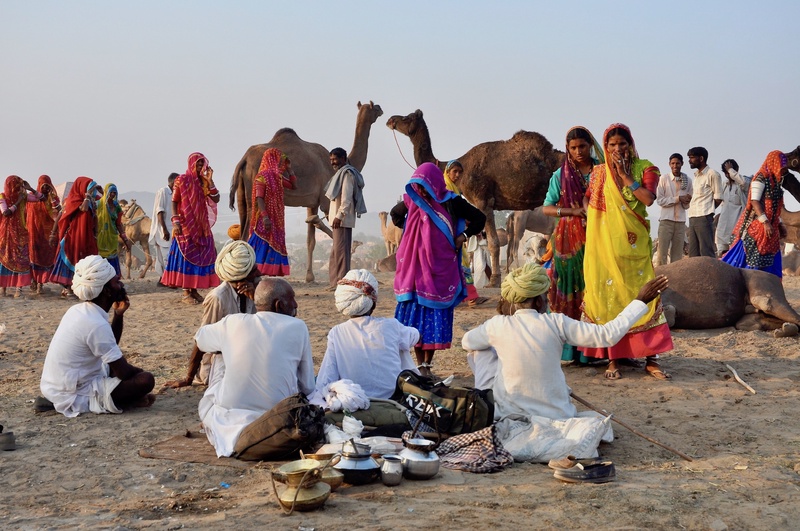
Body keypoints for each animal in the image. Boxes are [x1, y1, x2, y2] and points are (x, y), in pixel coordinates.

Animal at [230, 101, 383, 283]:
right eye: (374, 107)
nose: (381, 109)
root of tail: (244, 159)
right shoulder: (325, 199)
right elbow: (328, 227)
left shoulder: (312, 202)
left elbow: (311, 240)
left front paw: (310, 276)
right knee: (248, 230)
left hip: (243, 193)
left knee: (242, 227)